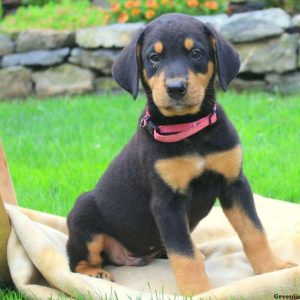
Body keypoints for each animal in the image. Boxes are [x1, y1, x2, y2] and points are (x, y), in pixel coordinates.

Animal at [66, 13, 296, 296]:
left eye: (196, 53)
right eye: (154, 57)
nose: (176, 88)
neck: (190, 130)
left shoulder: (235, 184)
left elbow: (254, 231)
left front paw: (271, 268)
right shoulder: (167, 202)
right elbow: (185, 254)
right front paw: (200, 291)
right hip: (83, 213)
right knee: (76, 261)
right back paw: (95, 273)